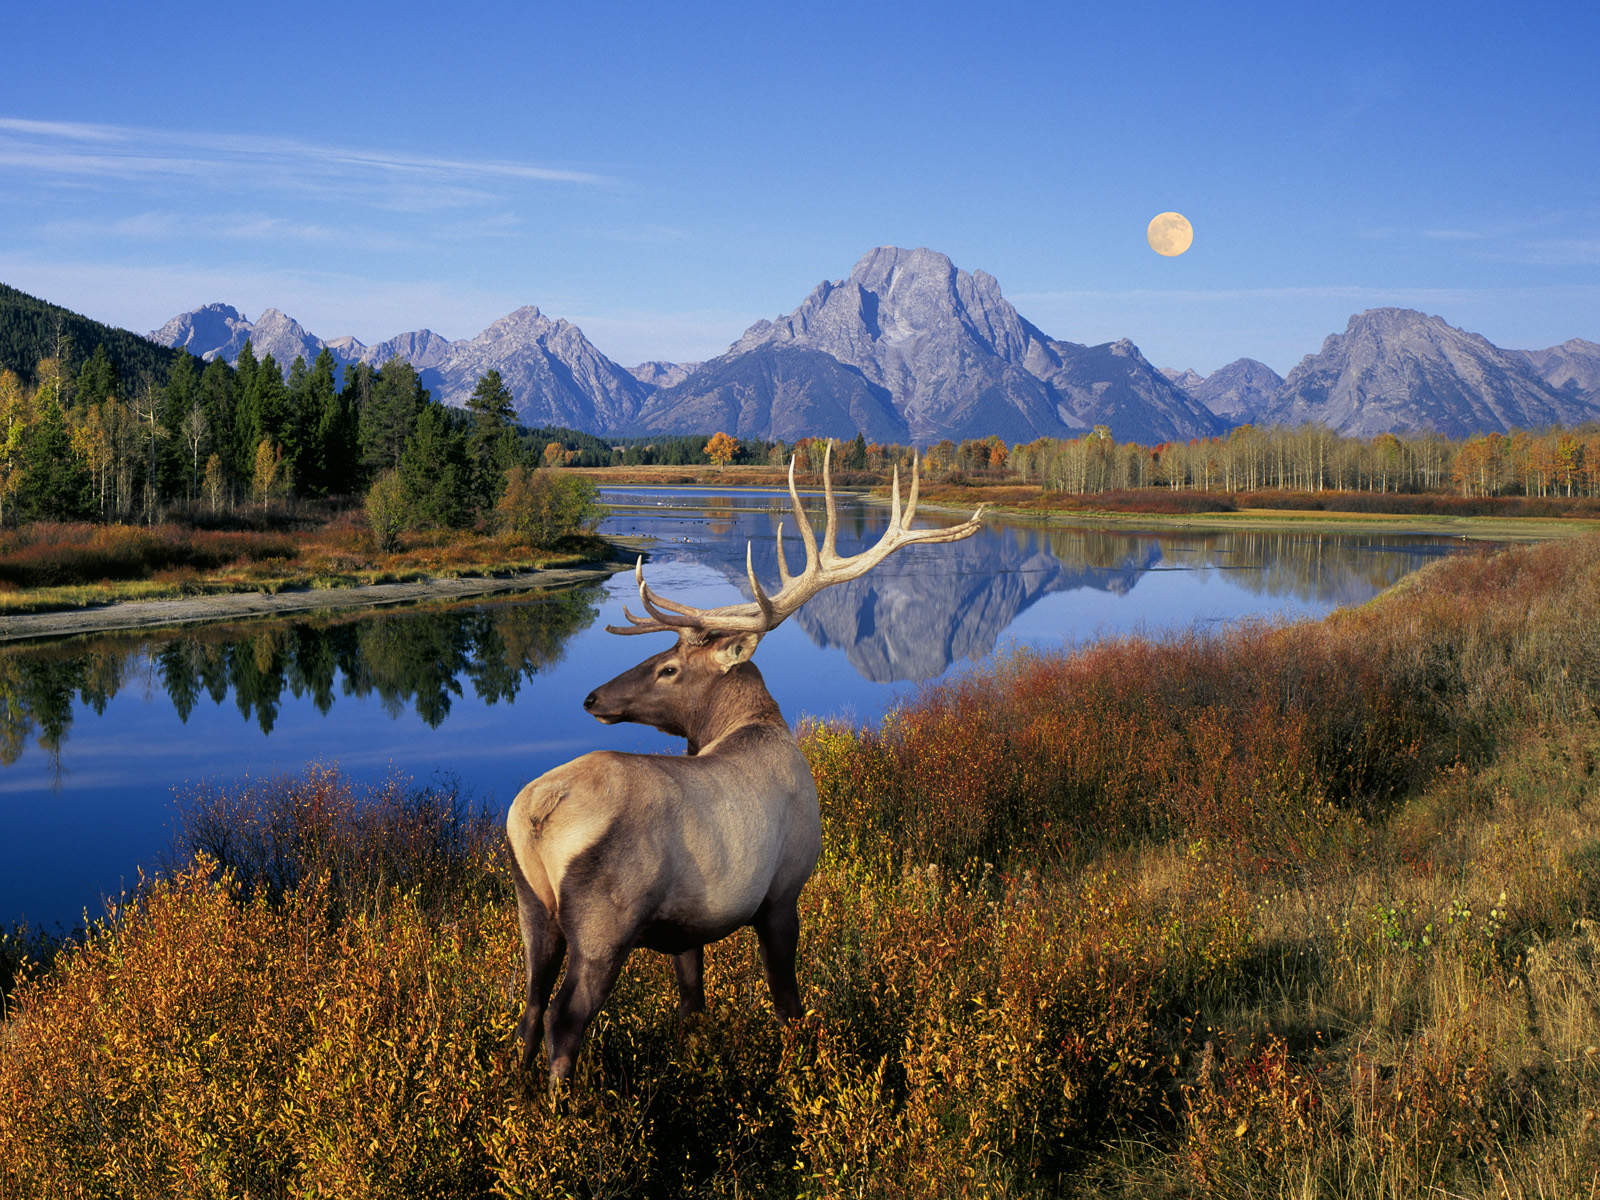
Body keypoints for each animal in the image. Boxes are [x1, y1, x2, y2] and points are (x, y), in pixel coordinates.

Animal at [505, 448, 979, 1088]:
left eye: (669, 667)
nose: (593, 697)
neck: (754, 725)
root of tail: (536, 813)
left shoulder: (687, 927)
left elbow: (692, 1004)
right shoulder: (783, 892)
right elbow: (788, 1002)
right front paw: (801, 1062)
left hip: (533, 908)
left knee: (529, 1009)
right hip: (606, 923)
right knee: (564, 1019)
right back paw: (562, 1109)